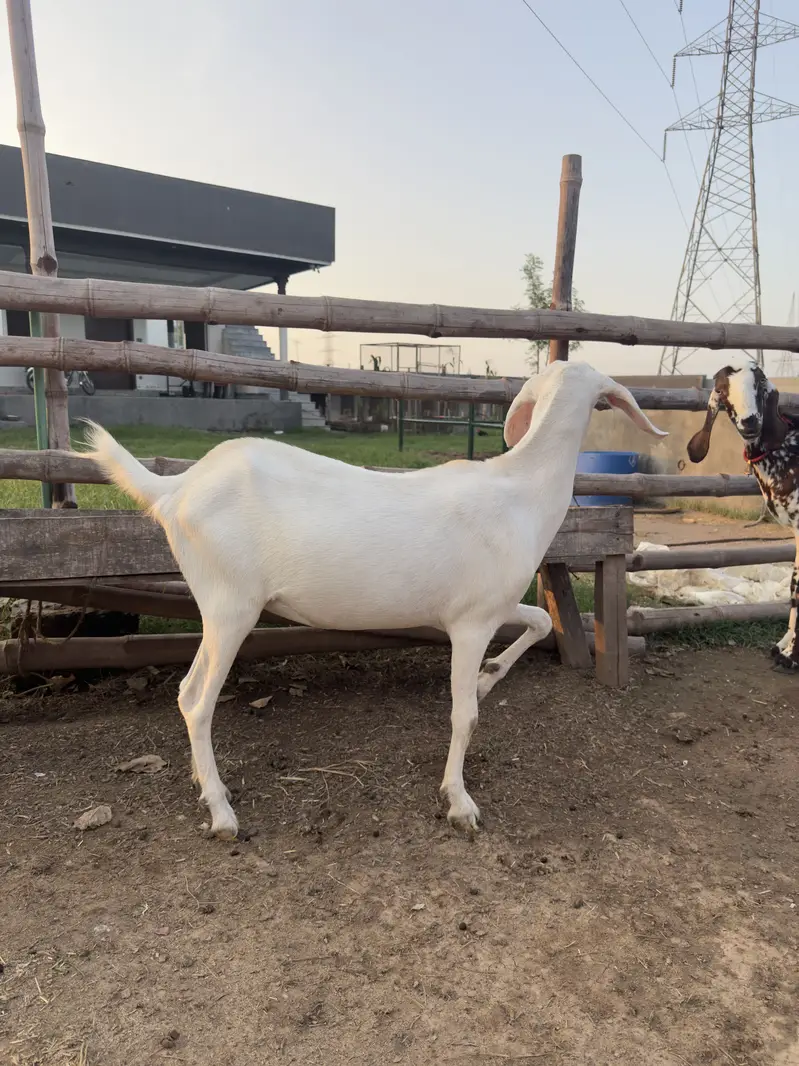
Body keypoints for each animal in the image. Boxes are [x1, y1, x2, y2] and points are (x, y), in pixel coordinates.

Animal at [86, 360, 666, 839]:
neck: (519, 492)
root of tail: (174, 489)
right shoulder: (471, 622)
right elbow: (464, 715)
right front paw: (459, 802)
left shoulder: (491, 607)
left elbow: (543, 622)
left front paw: (489, 676)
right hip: (230, 604)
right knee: (197, 699)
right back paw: (222, 812)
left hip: (219, 604)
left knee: (188, 692)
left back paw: (209, 787)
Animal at [687, 359, 799, 670]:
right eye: (722, 389)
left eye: (759, 383)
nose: (750, 422)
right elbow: (793, 587)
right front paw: (783, 647)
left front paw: (791, 656)